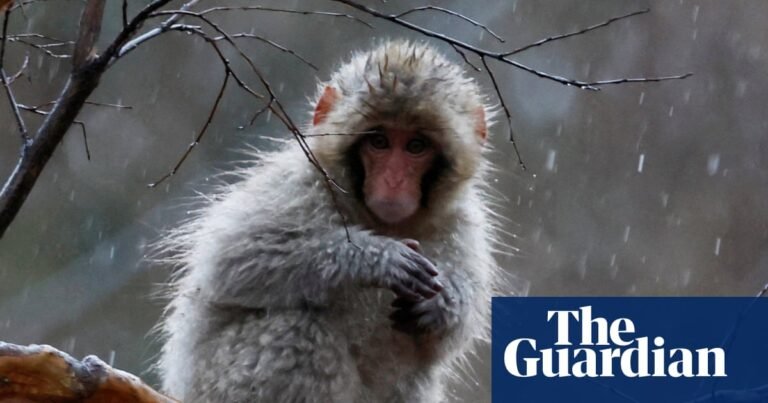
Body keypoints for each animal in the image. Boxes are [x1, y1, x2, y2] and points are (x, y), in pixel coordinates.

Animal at [157, 40, 501, 403]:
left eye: (416, 146)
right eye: (379, 142)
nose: (393, 181)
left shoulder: (463, 223)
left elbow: (455, 328)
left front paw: (442, 304)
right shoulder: (300, 182)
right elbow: (234, 257)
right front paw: (376, 258)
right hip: (217, 384)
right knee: (297, 329)